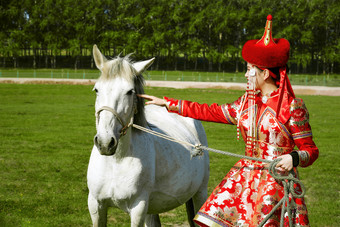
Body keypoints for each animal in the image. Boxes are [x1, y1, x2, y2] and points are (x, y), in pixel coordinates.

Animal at [87, 44, 210, 227]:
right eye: (96, 89)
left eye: (130, 92)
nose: (105, 142)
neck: (116, 162)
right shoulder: (96, 205)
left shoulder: (138, 207)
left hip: (199, 193)